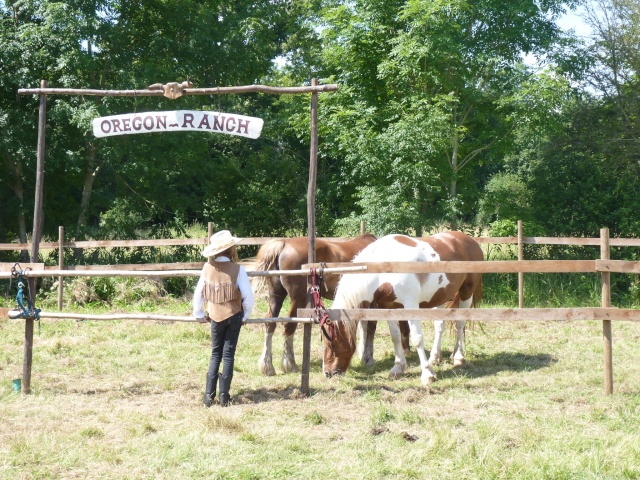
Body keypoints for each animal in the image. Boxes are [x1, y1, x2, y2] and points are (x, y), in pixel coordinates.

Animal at [252, 234, 408, 376]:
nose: (407, 348)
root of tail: (283, 244)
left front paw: (364, 356)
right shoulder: (374, 302)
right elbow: (370, 328)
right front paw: (368, 358)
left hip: (276, 296)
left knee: (270, 323)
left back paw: (267, 366)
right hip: (297, 299)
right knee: (289, 325)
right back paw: (290, 364)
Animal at [322, 231, 482, 384]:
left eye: (331, 344)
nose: (328, 373)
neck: (385, 267)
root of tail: (471, 241)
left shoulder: (411, 305)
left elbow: (417, 338)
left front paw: (427, 374)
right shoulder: (388, 307)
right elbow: (395, 337)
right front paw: (398, 368)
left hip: (466, 292)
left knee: (460, 323)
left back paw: (459, 357)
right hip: (440, 296)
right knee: (439, 326)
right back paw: (435, 358)